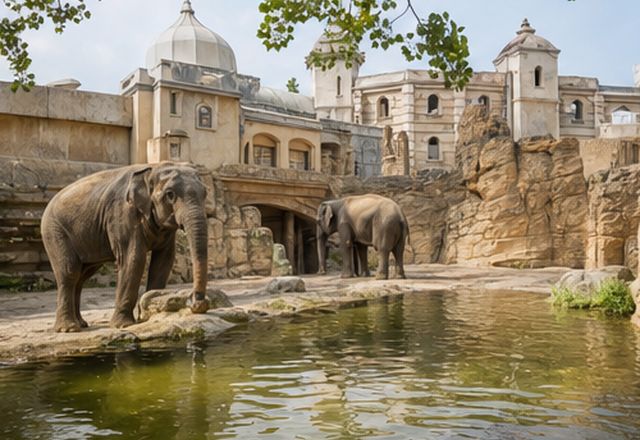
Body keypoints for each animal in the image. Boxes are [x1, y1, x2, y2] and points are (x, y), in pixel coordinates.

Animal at [41, 162, 210, 332]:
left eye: (205, 193)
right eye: (170, 194)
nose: (197, 304)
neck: (153, 168)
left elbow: (163, 261)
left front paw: (146, 314)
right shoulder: (122, 214)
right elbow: (134, 259)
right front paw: (124, 325)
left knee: (83, 276)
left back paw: (81, 324)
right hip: (55, 232)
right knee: (69, 272)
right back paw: (69, 329)